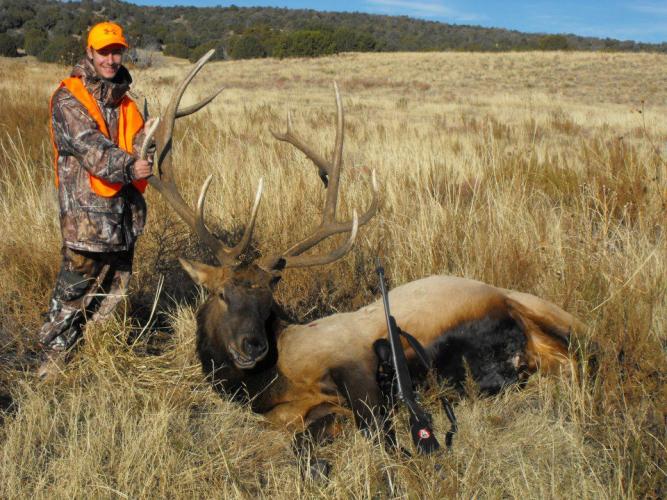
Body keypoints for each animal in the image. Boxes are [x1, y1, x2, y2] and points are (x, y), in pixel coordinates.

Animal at [142, 51, 584, 473]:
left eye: (269, 300)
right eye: (221, 293)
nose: (252, 345)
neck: (270, 382)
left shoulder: (352, 360)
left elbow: (372, 427)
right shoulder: (305, 411)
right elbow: (310, 435)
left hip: (551, 317)